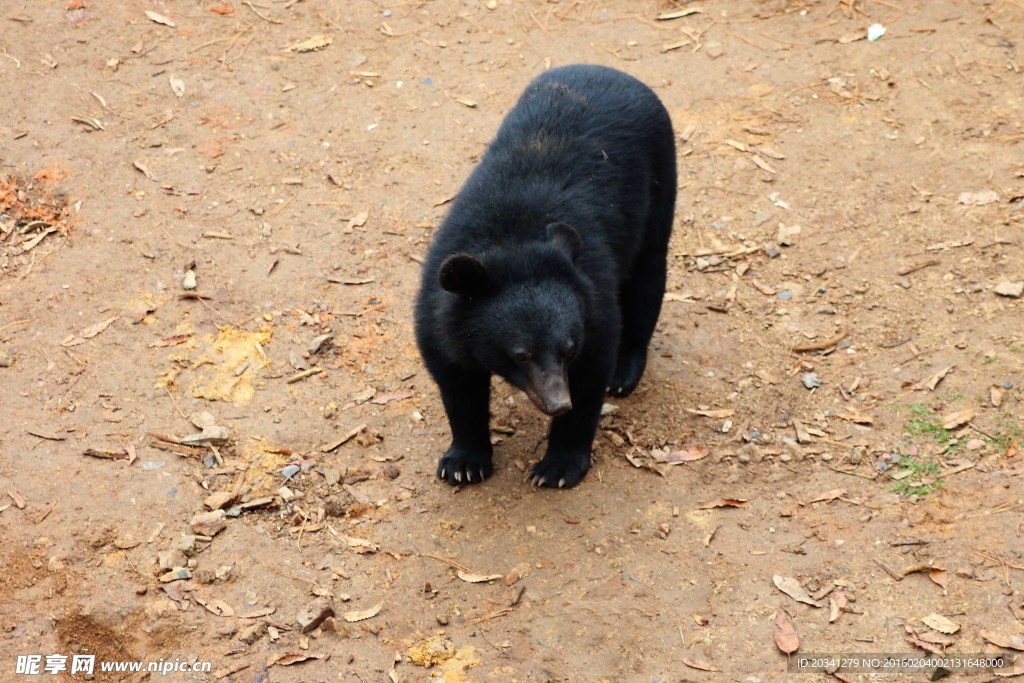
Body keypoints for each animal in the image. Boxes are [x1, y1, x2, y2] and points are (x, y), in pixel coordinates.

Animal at [411, 63, 675, 489]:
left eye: (567, 348)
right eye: (520, 354)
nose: (556, 403)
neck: (511, 244)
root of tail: (609, 69)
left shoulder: (593, 300)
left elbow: (591, 373)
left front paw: (557, 468)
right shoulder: (440, 314)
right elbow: (457, 382)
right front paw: (463, 464)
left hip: (659, 180)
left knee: (646, 280)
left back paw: (625, 372)